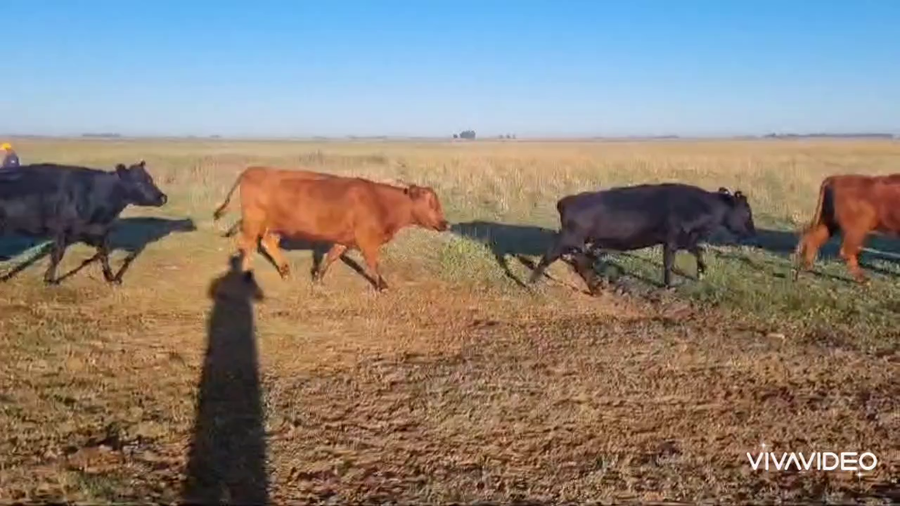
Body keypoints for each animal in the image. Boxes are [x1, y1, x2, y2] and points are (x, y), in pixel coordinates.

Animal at [0, 160, 168, 285]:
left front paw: (111, 278)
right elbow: (57, 255)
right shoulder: (62, 231)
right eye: (139, 183)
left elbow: (103, 255)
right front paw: (50, 280)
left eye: (150, 179)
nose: (163, 197)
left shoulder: (101, 232)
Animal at [212, 173, 449, 291]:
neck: (380, 202)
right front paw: (382, 286)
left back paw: (285, 270)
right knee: (247, 245)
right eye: (431, 203)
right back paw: (245, 275)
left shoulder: (345, 240)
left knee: (267, 242)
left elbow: (331, 256)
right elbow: (373, 264)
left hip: (272, 225)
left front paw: (318, 277)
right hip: (253, 222)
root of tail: (252, 170)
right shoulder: (367, 241)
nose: (446, 223)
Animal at [528, 183, 756, 292]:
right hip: (568, 238)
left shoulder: (685, 239)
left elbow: (698, 251)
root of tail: (565, 201)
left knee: (580, 258)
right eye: (746, 210)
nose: (753, 232)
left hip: (576, 241)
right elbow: (668, 264)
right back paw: (532, 283)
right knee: (549, 257)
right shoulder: (671, 241)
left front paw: (701, 272)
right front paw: (669, 286)